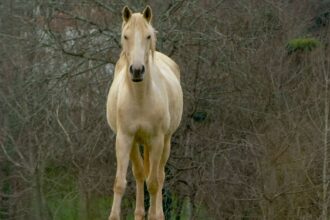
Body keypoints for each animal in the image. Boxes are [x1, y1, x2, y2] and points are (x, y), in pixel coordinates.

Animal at [105, 5, 183, 220]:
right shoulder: (124, 138)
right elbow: (120, 182)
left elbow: (154, 183)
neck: (140, 98)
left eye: (148, 36)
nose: (137, 70)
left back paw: (157, 213)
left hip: (164, 142)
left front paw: (155, 215)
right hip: (137, 143)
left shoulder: (156, 140)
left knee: (159, 177)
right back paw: (140, 213)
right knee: (140, 174)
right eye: (125, 36)